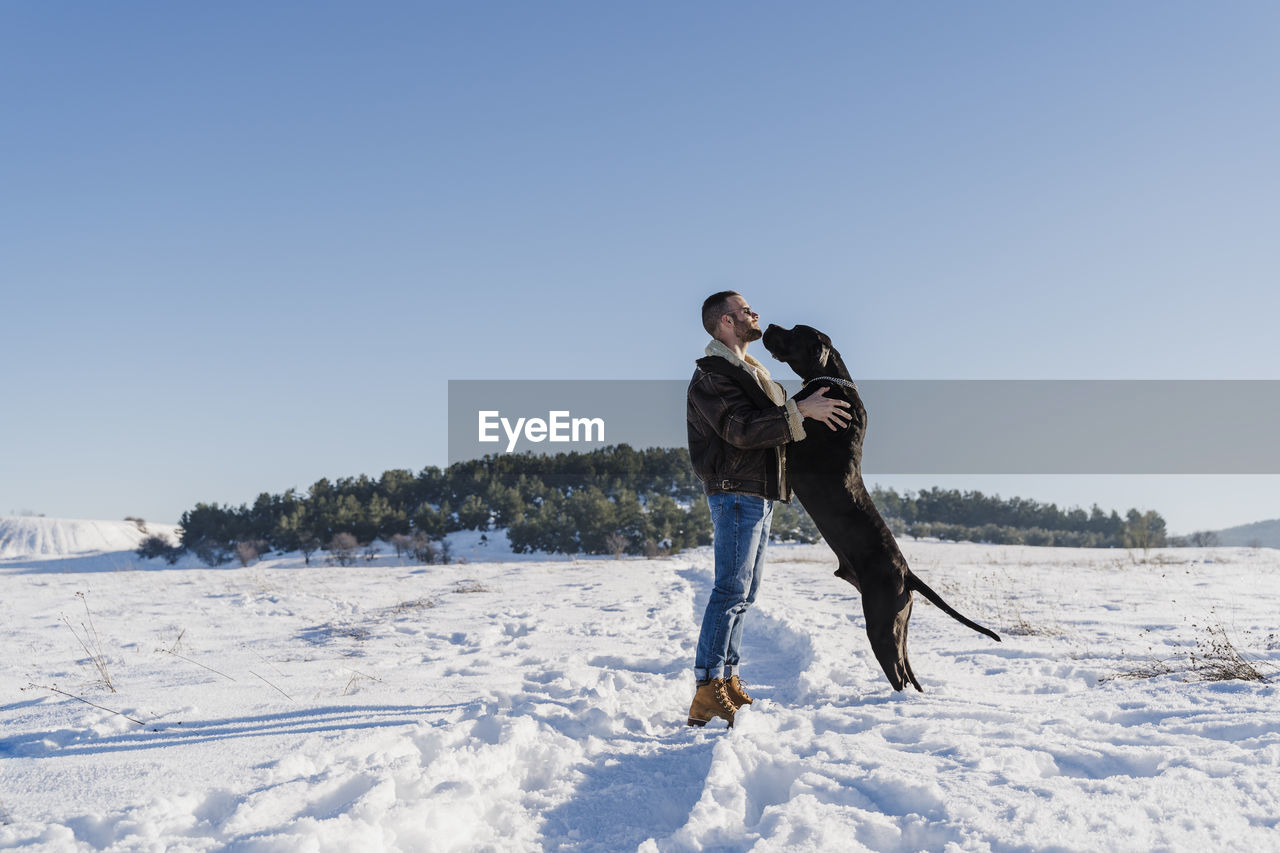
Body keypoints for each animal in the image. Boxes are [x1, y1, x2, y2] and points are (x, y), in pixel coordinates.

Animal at [757, 322, 998, 686]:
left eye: (796, 332)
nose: (769, 326)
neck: (834, 383)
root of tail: (907, 573)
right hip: (898, 623)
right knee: (907, 669)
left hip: (881, 623)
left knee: (897, 673)